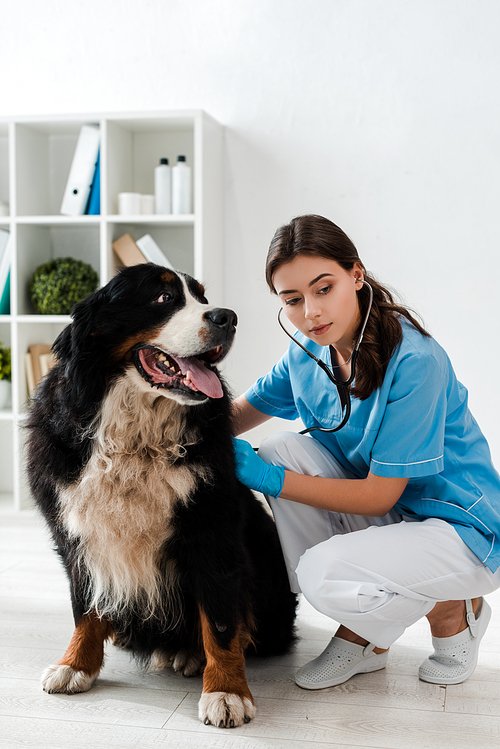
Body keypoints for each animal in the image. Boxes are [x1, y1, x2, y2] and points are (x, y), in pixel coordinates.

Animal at [26, 262, 296, 724]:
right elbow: (85, 607)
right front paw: (75, 665)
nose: (227, 317)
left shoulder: (212, 531)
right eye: (164, 298)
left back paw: (190, 655)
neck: (136, 438)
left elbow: (221, 622)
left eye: (203, 298)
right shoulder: (77, 533)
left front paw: (226, 691)